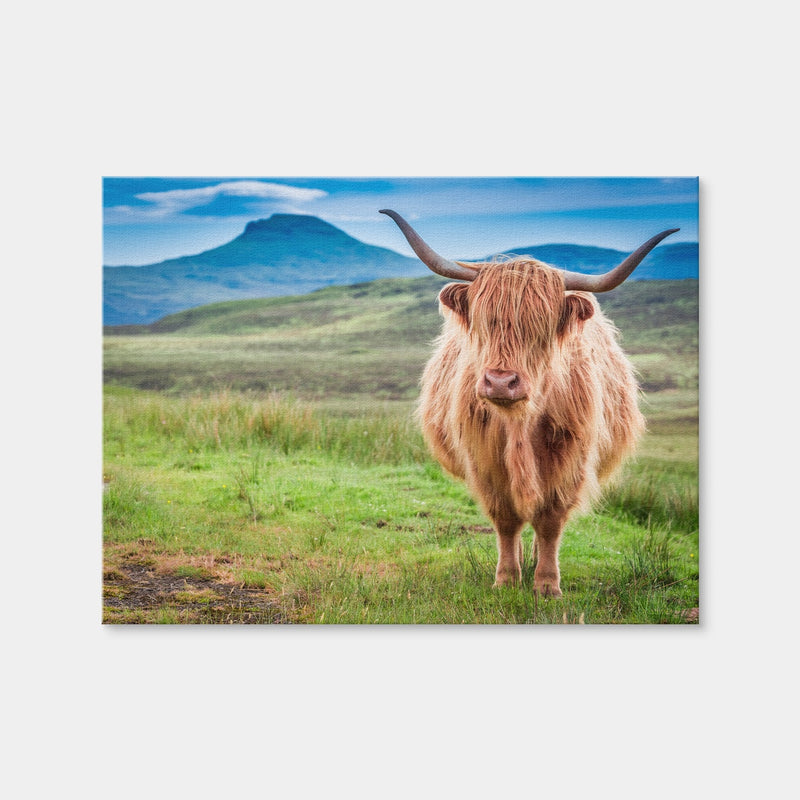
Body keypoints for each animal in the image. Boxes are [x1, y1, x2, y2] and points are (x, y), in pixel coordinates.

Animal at [380, 209, 678, 596]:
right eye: (484, 323)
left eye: (540, 327)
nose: (500, 382)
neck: (519, 423)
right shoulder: (485, 462)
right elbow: (506, 521)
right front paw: (507, 578)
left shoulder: (569, 461)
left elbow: (550, 521)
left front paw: (547, 584)